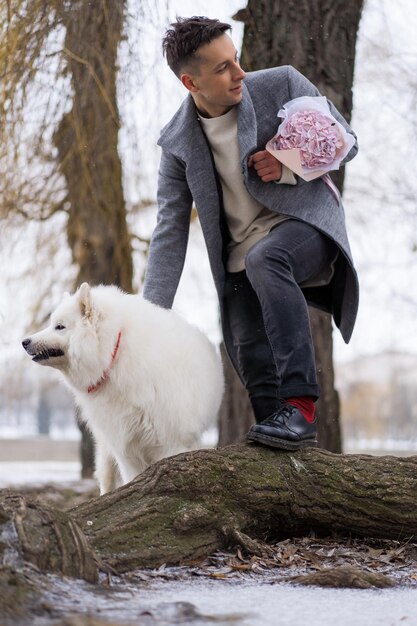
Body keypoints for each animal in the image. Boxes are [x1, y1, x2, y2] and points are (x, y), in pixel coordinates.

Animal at [22, 282, 224, 492]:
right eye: (52, 323)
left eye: (60, 326)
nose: (24, 342)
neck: (115, 355)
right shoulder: (126, 448)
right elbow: (130, 479)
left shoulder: (172, 443)